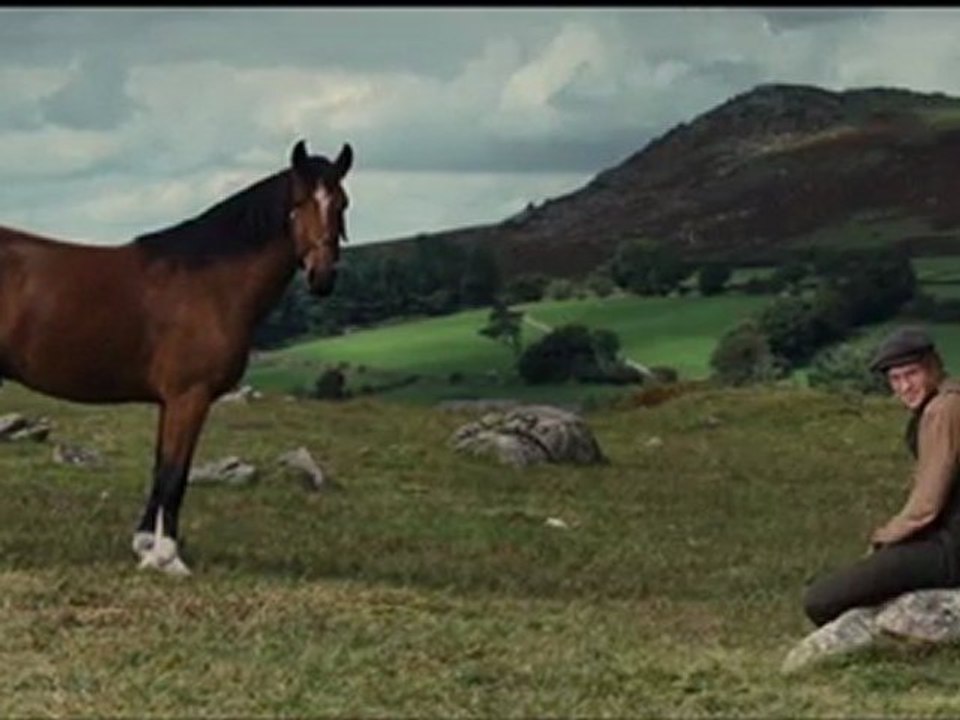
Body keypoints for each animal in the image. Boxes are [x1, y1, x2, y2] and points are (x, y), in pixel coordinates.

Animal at [0, 139, 352, 575]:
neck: (210, 282)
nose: (323, 277)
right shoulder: (190, 397)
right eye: (299, 201)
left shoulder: (170, 401)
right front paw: (167, 559)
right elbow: (174, 474)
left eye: (342, 203)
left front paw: (145, 546)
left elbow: (160, 468)